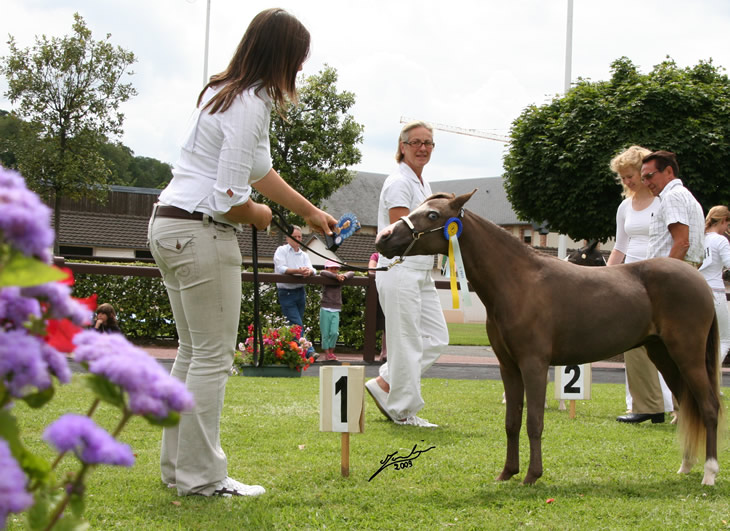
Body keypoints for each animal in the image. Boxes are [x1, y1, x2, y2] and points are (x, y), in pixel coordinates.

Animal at [376, 190, 724, 486]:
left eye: (433, 215)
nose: (384, 237)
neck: (519, 281)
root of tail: (697, 279)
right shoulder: (508, 367)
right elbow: (512, 421)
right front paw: (507, 472)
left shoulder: (534, 365)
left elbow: (534, 421)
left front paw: (532, 476)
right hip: (663, 355)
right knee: (687, 405)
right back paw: (686, 466)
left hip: (687, 355)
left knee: (708, 406)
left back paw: (709, 473)